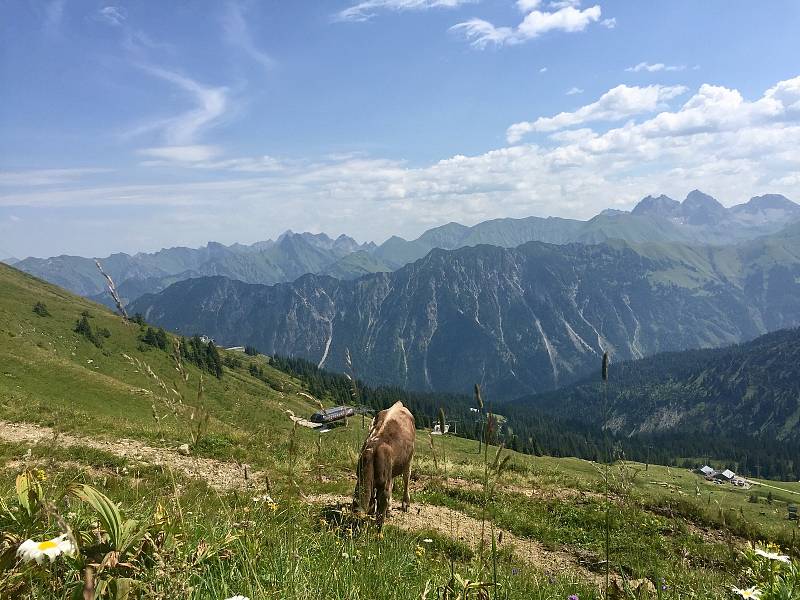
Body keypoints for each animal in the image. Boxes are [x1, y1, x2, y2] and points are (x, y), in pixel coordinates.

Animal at [356, 400, 418, 528]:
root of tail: (398, 404)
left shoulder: (383, 485)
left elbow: (381, 512)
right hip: (392, 468)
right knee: (392, 483)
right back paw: (389, 509)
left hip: (409, 458)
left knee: (406, 479)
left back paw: (405, 504)